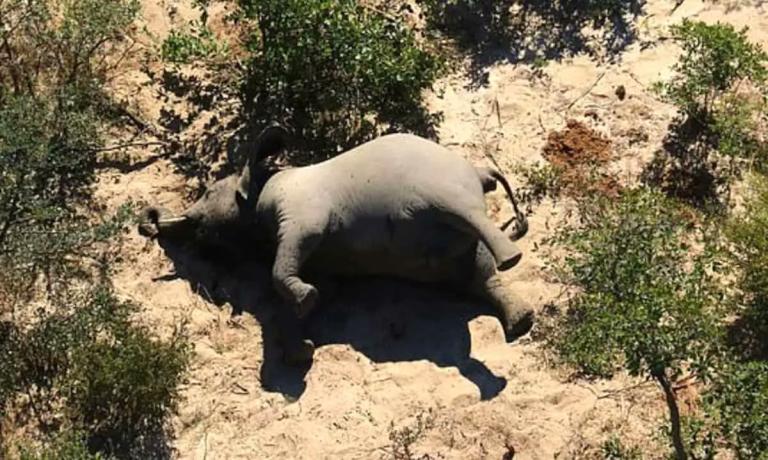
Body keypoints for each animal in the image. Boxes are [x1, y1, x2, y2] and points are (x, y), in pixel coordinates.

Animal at [139, 126, 534, 364]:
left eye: (207, 193)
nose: (148, 223)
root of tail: (480, 172)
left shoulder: (301, 211)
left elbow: (285, 263)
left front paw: (305, 304)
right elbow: (317, 290)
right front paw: (302, 346)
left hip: (445, 188)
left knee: (467, 217)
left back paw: (512, 260)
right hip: (453, 249)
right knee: (478, 276)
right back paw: (522, 323)